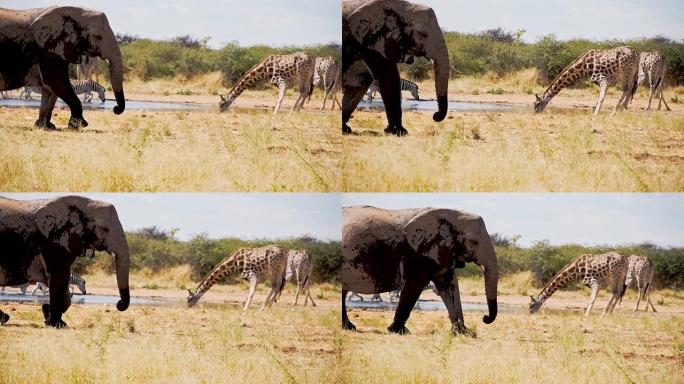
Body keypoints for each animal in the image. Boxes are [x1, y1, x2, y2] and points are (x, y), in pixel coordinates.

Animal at [0, 195, 130, 328]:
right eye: (104, 229)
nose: (119, 304)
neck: (86, 205)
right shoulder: (52, 241)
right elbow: (58, 278)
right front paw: (56, 324)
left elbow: (64, 285)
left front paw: (48, 315)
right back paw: (5, 318)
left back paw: (4, 318)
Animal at [340, 0, 448, 136]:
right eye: (422, 34)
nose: (435, 115)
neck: (405, 5)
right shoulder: (372, 39)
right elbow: (388, 78)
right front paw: (398, 132)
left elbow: (361, 84)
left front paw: (345, 128)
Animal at [340, 206, 496, 334]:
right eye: (474, 242)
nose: (484, 318)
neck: (451, 216)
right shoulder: (416, 253)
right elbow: (413, 286)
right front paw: (398, 331)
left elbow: (450, 287)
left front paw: (463, 332)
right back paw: (349, 327)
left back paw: (348, 327)